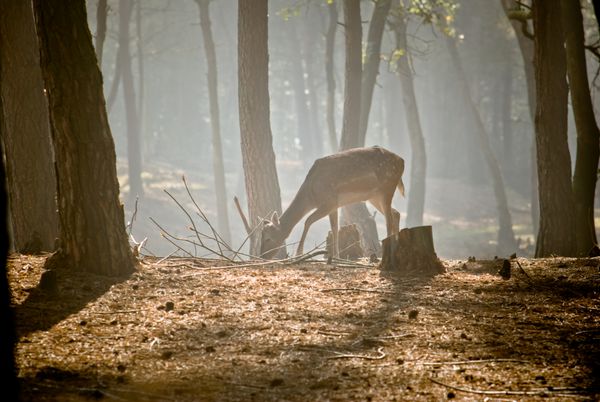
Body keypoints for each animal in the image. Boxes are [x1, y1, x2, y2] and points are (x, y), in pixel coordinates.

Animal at [245, 146, 408, 260]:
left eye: (268, 238)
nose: (261, 256)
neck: (311, 195)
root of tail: (402, 161)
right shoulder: (334, 205)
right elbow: (334, 228)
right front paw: (335, 256)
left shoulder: (328, 201)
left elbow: (307, 221)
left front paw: (299, 253)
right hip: (374, 196)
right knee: (395, 213)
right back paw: (397, 246)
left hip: (387, 187)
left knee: (389, 218)